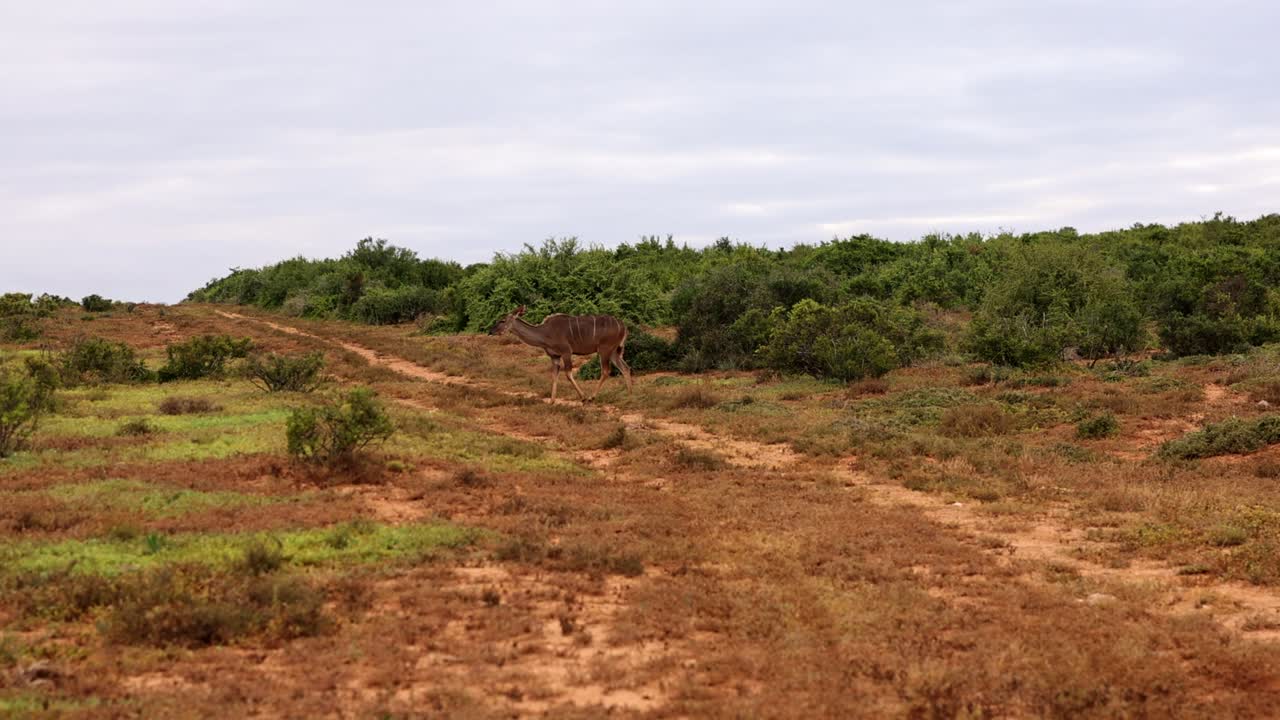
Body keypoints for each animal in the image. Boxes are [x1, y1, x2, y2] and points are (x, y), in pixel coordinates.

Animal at [491, 306, 633, 401]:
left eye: (502, 320)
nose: (491, 331)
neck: (544, 332)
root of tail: (623, 326)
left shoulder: (566, 352)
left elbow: (568, 374)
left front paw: (583, 398)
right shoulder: (554, 356)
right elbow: (554, 375)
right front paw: (552, 401)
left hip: (604, 350)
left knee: (606, 371)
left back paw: (592, 397)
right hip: (613, 352)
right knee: (625, 368)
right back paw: (629, 394)